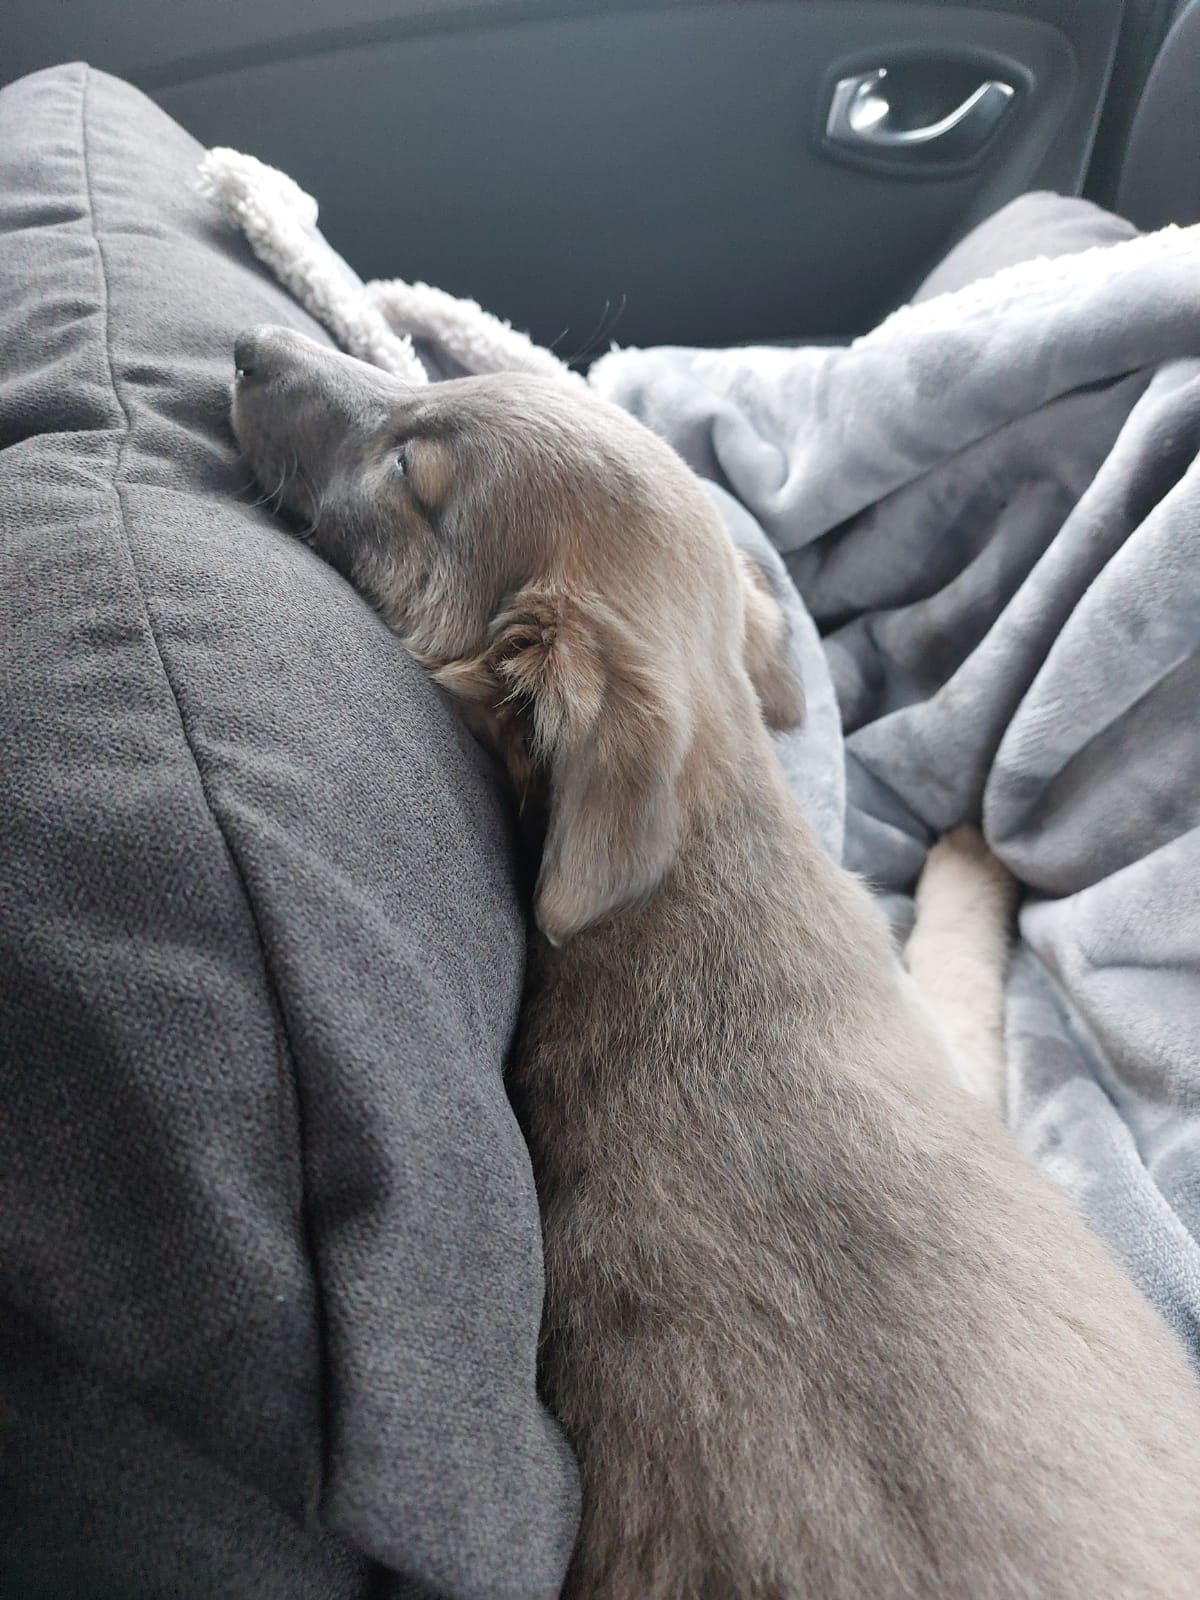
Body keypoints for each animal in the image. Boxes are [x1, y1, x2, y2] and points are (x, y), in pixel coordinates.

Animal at [232, 327, 1200, 1600]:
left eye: (410, 470)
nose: (249, 344)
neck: (693, 846)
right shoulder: (956, 1037)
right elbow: (956, 937)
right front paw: (971, 854)